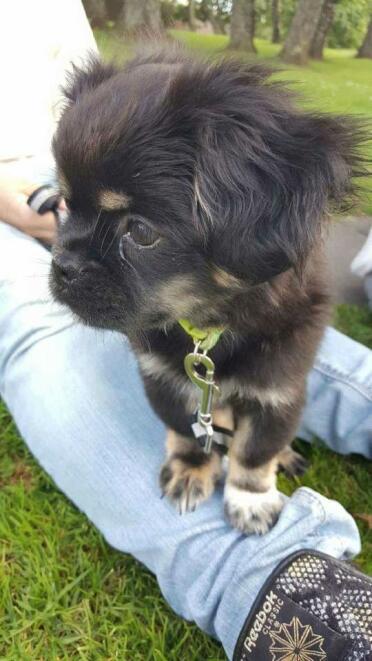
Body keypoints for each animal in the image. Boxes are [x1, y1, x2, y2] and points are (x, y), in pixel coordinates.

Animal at [50, 46, 368, 532]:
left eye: (141, 232)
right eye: (64, 203)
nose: (63, 266)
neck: (209, 327)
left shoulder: (279, 388)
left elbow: (255, 451)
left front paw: (251, 500)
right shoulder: (164, 379)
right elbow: (186, 430)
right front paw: (190, 471)